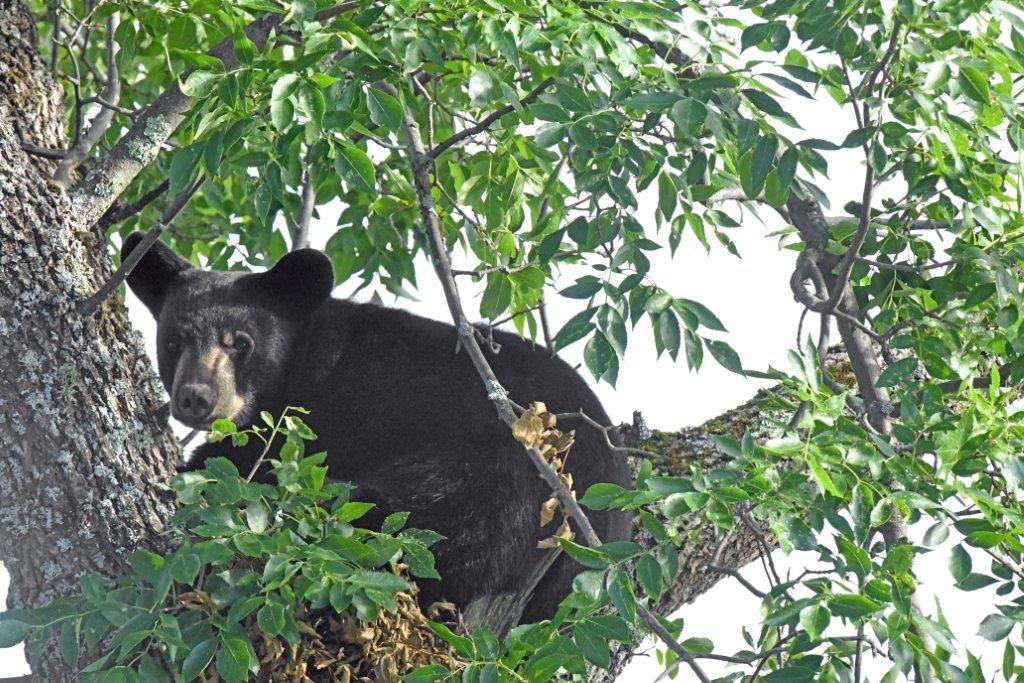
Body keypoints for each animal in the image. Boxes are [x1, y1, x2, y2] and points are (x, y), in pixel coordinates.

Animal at [122, 232, 633, 630]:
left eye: (240, 343)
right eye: (173, 340)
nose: (196, 397)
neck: (303, 360)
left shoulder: (316, 416)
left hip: (504, 480)